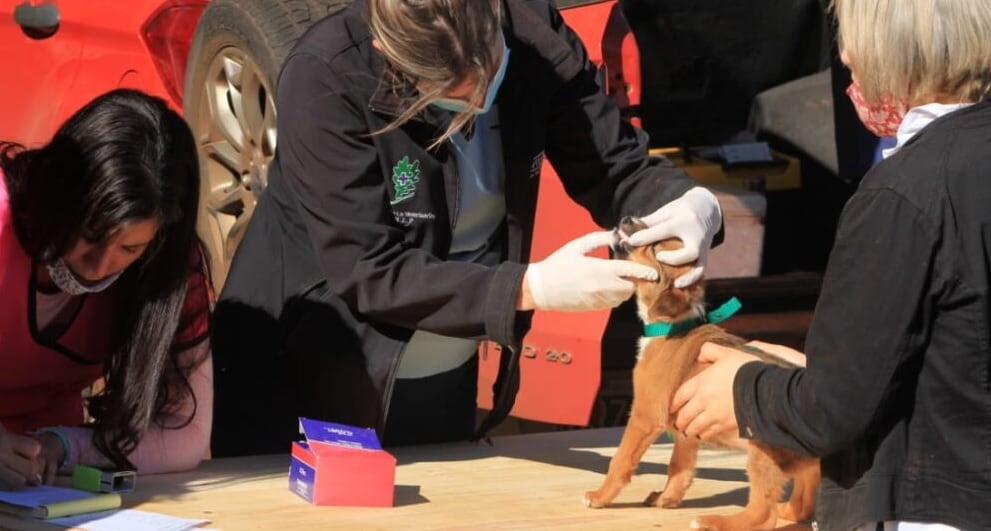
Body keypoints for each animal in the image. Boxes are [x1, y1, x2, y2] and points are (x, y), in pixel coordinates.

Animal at [580, 217, 820, 531]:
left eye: (655, 247)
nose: (627, 219)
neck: (673, 325)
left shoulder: (645, 416)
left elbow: (619, 460)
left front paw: (600, 496)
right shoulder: (686, 426)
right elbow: (679, 467)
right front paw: (667, 498)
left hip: (762, 450)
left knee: (762, 513)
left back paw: (715, 521)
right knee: (803, 502)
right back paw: (787, 511)